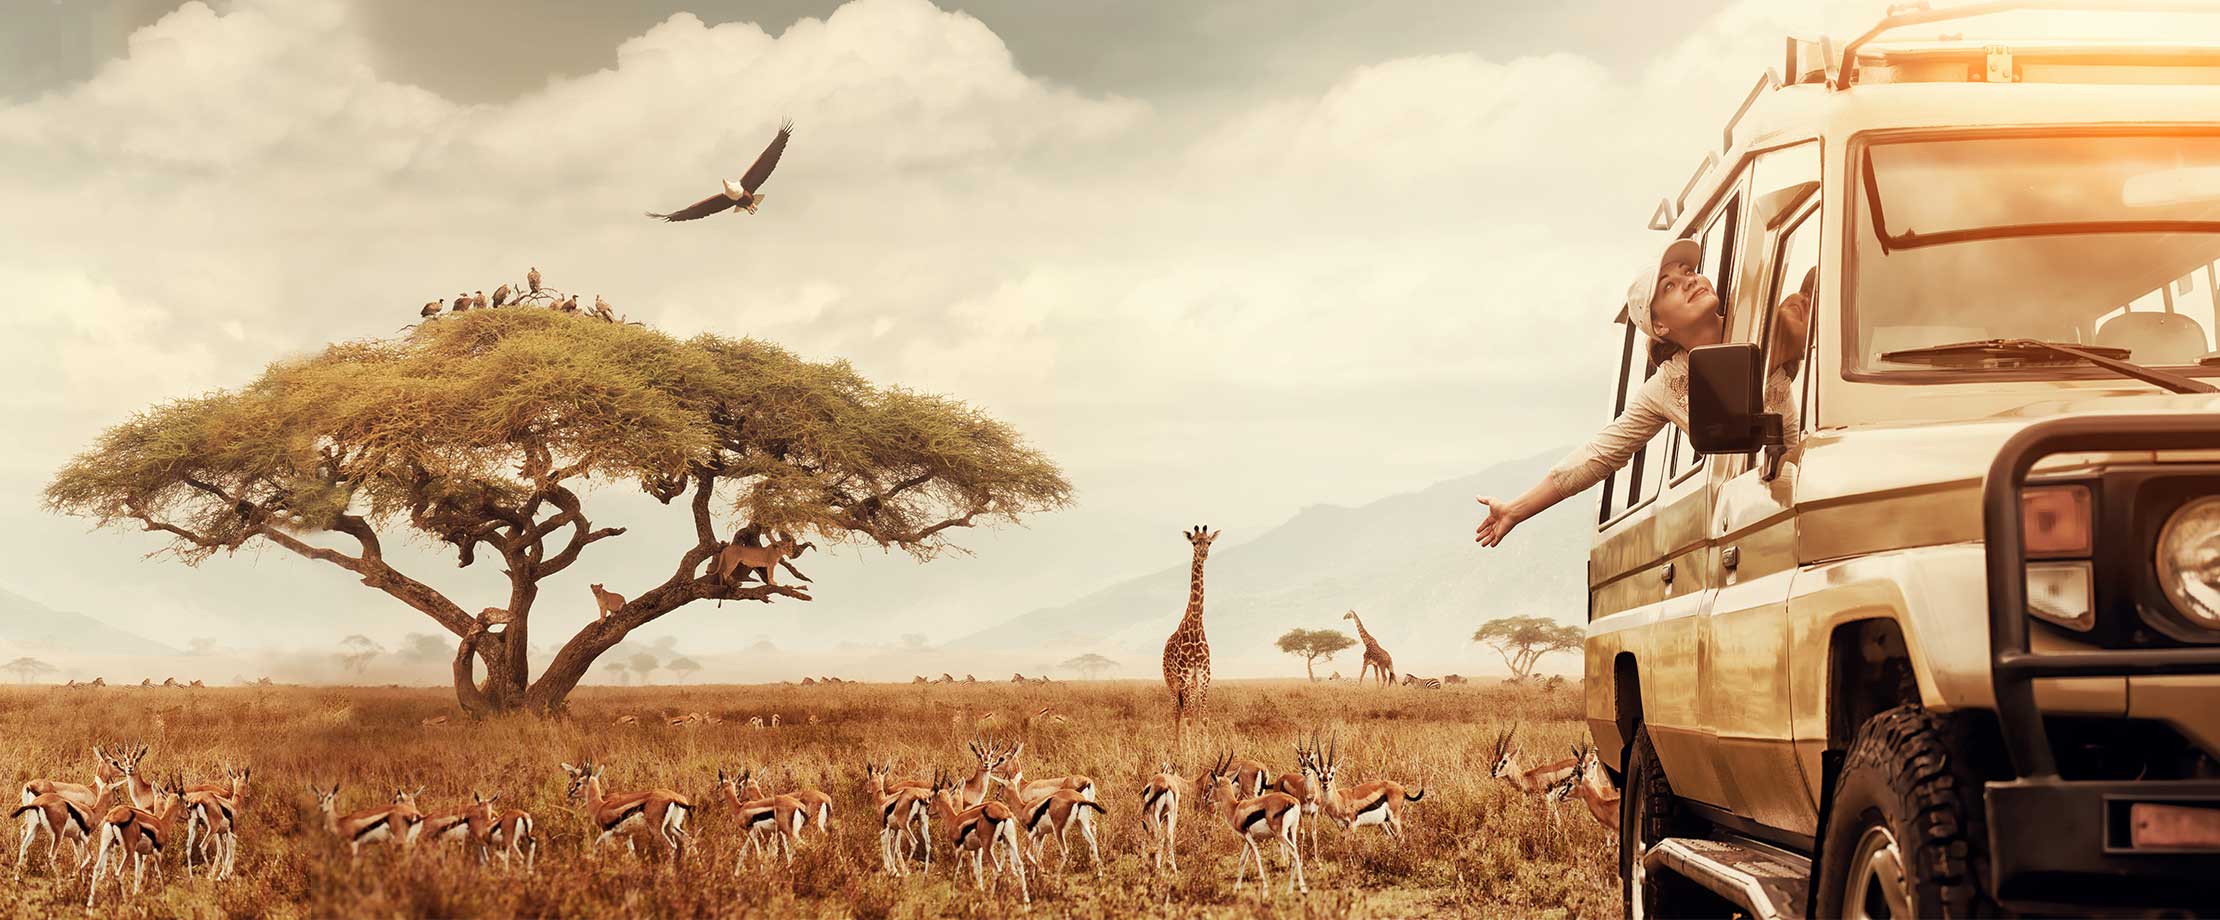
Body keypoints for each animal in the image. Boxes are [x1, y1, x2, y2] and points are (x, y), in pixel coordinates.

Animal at [559, 760, 688, 871]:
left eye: (578, 783)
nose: (569, 793)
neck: (600, 805)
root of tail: (674, 797)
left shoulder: (607, 832)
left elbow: (598, 846)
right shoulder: (627, 835)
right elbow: (632, 854)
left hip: (657, 830)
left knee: (671, 847)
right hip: (672, 827)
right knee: (687, 839)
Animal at [1172, 528, 1225, 728]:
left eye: (1209, 542)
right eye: (1194, 542)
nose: (1203, 554)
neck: (1195, 626)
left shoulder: (1203, 675)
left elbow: (1202, 716)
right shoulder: (1184, 676)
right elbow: (1188, 718)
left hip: (1192, 684)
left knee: (1190, 711)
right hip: (1172, 682)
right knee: (1177, 713)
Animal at [1207, 751, 1305, 893]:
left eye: (1210, 785)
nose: (1207, 799)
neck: (1235, 808)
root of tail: (1291, 801)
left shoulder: (1248, 836)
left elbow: (1257, 857)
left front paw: (1265, 888)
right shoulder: (1249, 838)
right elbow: (1242, 860)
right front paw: (1236, 888)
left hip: (1280, 835)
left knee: (1294, 852)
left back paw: (1302, 888)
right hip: (1291, 831)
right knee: (1295, 852)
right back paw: (1290, 890)